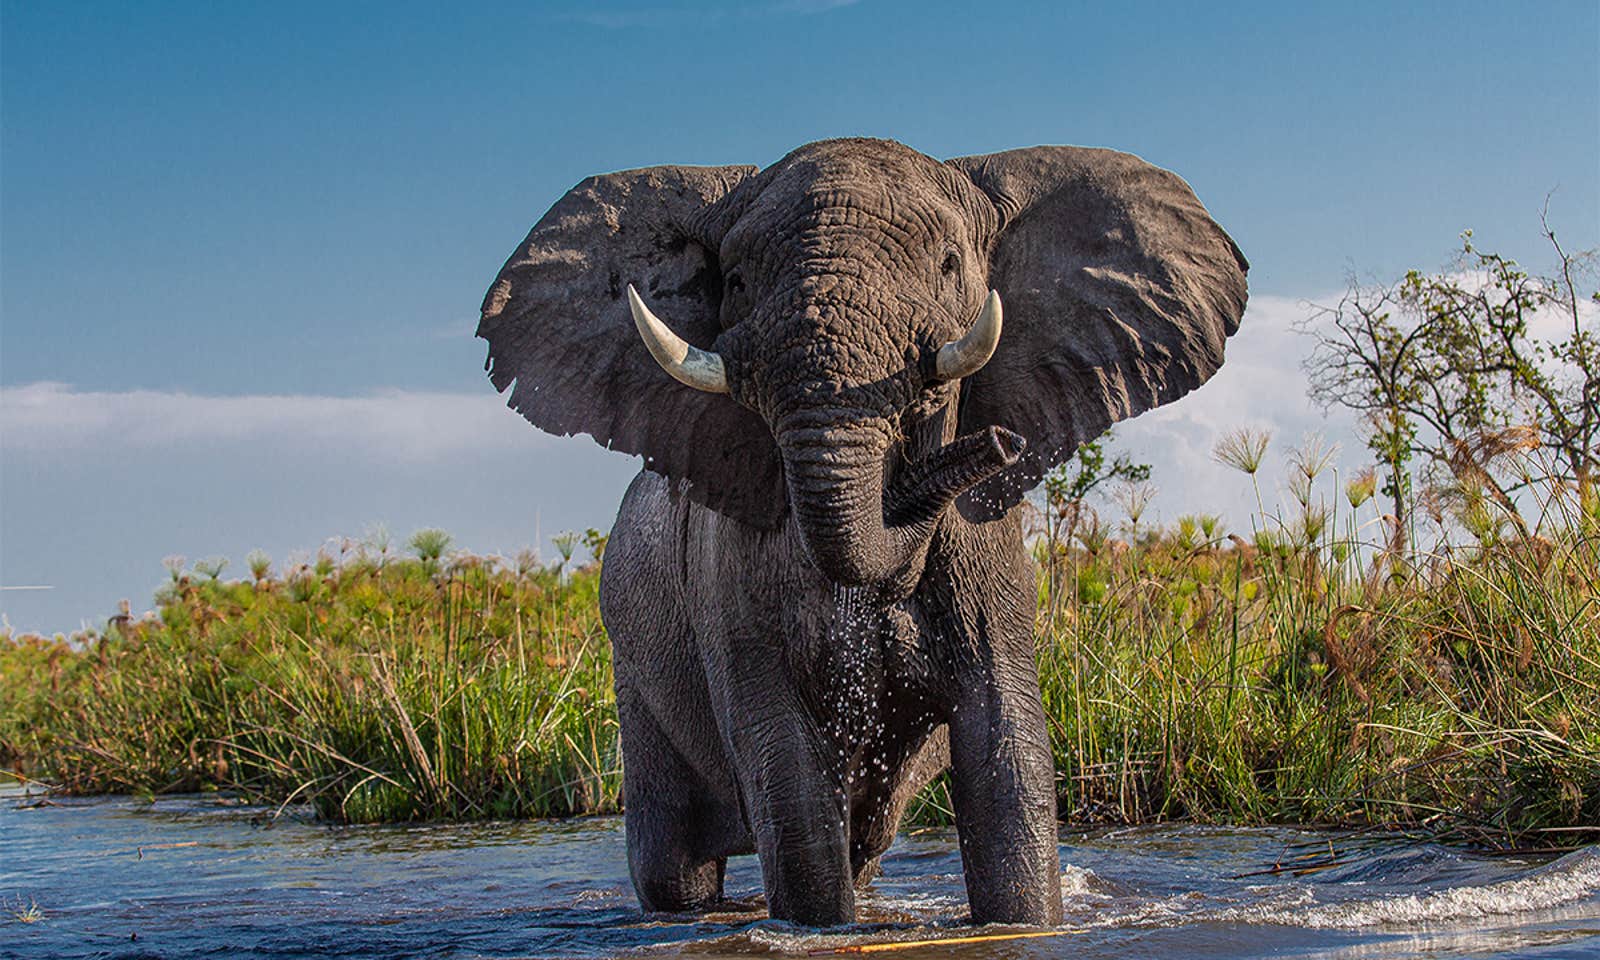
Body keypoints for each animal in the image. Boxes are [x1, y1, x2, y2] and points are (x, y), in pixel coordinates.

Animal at [477, 138, 1247, 926]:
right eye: (737, 280)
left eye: (949, 263)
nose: (999, 443)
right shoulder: (731, 576)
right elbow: (785, 770)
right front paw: (817, 931)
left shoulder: (989, 555)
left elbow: (1007, 750)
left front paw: (1024, 925)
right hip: (634, 661)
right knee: (675, 866)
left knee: (862, 846)